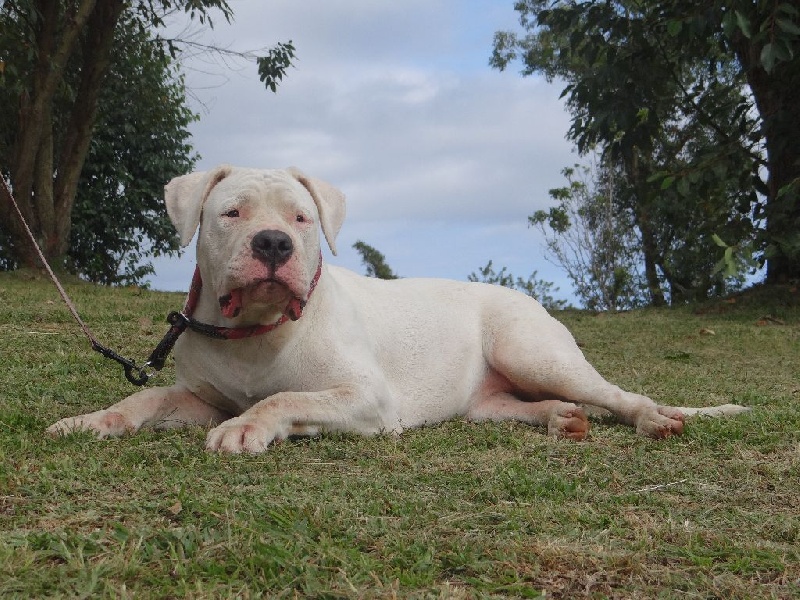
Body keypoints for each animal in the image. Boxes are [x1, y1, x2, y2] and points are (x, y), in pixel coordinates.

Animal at [48, 166, 752, 452]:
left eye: (301, 219)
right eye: (232, 213)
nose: (273, 243)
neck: (255, 333)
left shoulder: (367, 398)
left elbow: (286, 398)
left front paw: (250, 426)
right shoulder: (198, 398)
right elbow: (143, 398)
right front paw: (91, 420)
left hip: (531, 350)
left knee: (621, 395)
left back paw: (651, 419)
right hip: (489, 402)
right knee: (535, 405)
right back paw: (561, 419)